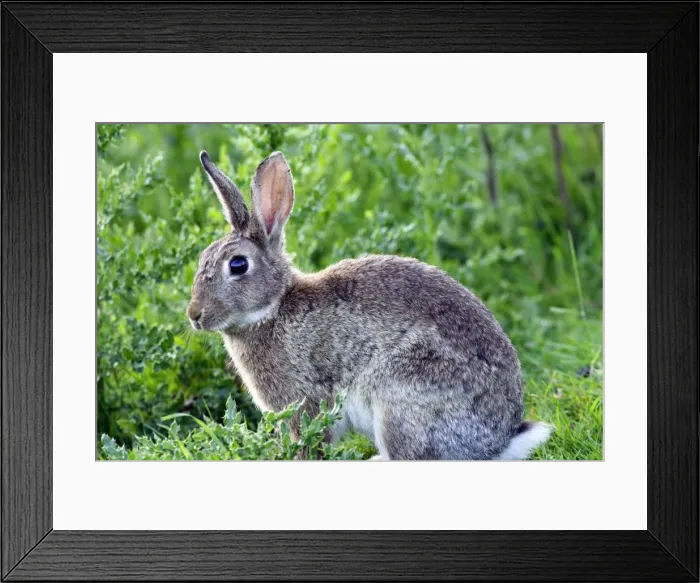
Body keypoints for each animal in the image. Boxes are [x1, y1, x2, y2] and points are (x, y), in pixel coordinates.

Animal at [187, 150, 552, 460]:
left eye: (238, 265)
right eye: (202, 258)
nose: (194, 315)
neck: (274, 308)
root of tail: (497, 442)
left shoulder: (308, 403)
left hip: (400, 399)